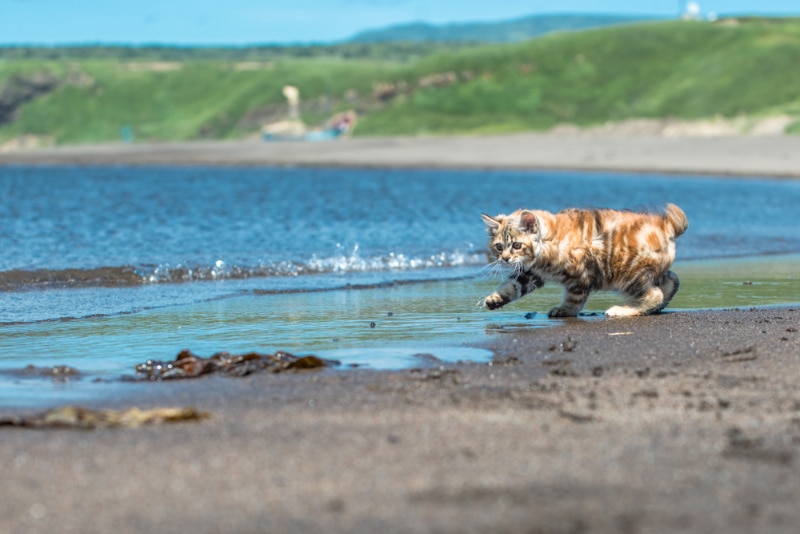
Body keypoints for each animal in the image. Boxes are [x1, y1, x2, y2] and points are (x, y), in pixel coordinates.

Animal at [482, 205, 688, 318]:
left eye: (516, 245)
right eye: (499, 246)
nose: (505, 259)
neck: (548, 241)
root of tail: (667, 225)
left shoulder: (580, 274)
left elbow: (575, 297)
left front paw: (565, 310)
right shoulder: (532, 274)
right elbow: (513, 286)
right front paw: (495, 299)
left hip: (630, 274)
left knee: (655, 294)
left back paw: (623, 310)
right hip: (648, 271)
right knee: (672, 280)